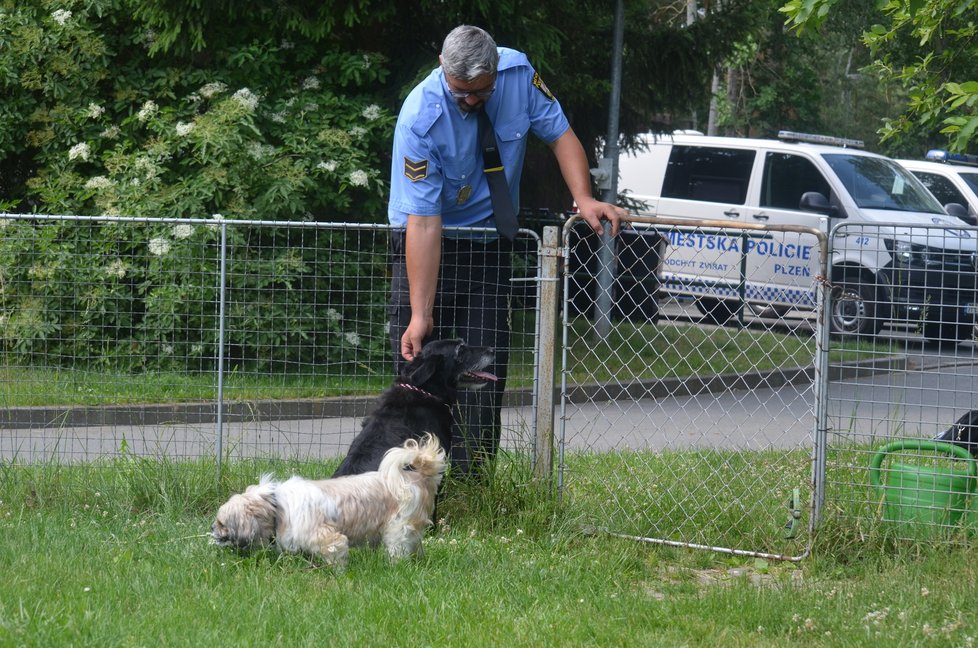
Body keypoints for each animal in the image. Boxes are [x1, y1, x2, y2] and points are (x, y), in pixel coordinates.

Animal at [214, 436, 446, 568]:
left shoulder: (330, 540)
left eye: (221, 523)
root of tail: (416, 476)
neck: (276, 507)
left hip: (398, 529)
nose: (212, 529)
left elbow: (336, 560)